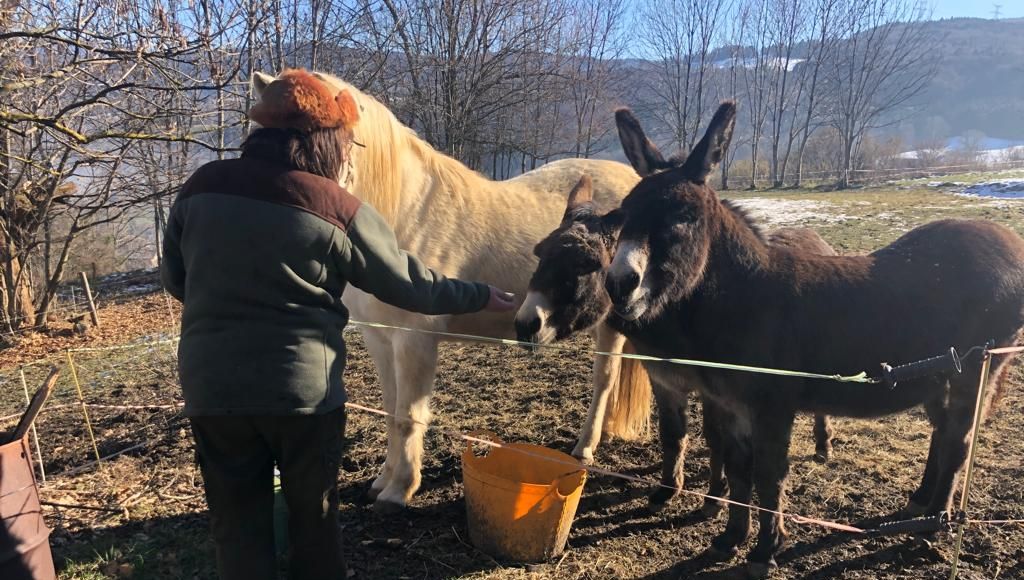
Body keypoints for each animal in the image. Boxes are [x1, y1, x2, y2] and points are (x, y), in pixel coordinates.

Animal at [247, 70, 647, 512]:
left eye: (308, 140)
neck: (404, 215)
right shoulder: (380, 339)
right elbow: (390, 410)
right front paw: (382, 482)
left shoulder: (414, 340)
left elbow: (408, 415)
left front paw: (399, 490)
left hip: (610, 323)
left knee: (604, 380)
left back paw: (585, 447)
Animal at [516, 176, 835, 514]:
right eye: (540, 252)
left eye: (586, 264)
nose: (525, 324)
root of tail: (814, 237)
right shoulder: (664, 379)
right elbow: (673, 432)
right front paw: (671, 487)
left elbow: (714, 436)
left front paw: (715, 496)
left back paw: (823, 445)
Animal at [598, 100, 1024, 577]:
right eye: (624, 215)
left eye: (683, 218)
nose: (619, 285)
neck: (745, 297)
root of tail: (1009, 241)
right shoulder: (731, 404)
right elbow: (740, 472)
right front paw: (729, 540)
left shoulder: (773, 406)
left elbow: (769, 475)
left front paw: (765, 550)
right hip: (937, 374)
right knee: (945, 430)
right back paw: (920, 505)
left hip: (975, 366)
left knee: (960, 440)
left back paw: (932, 526)